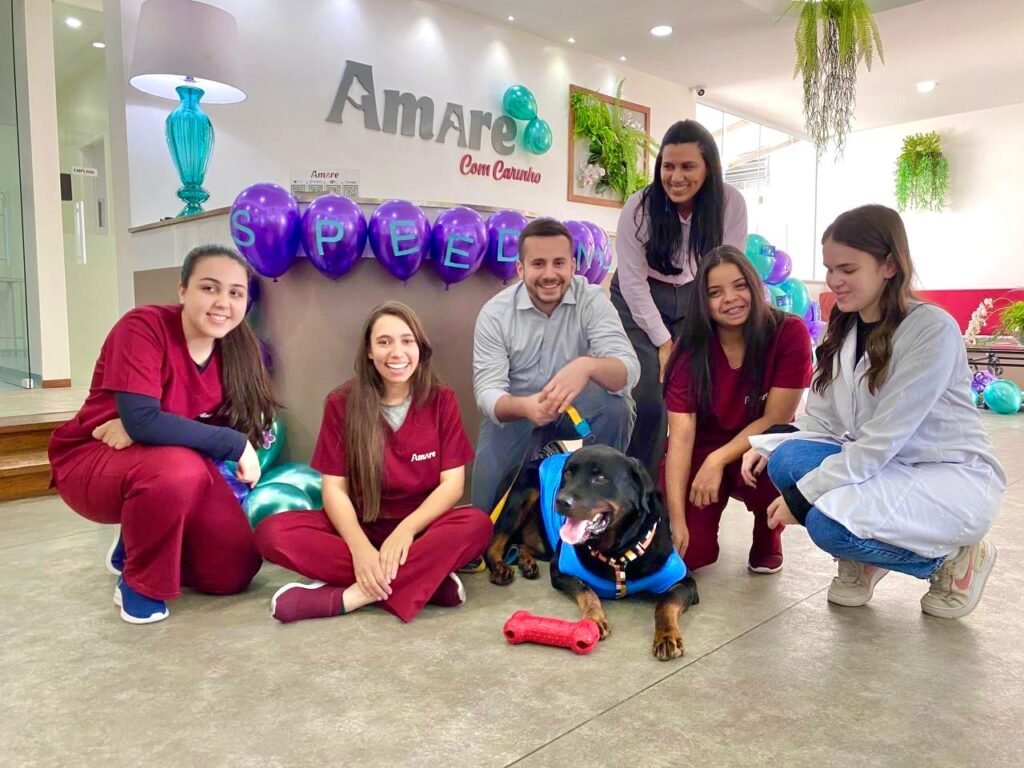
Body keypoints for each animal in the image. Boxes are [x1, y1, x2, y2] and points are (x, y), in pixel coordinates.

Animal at [484, 444, 699, 661]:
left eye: (601, 478)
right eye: (568, 473)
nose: (561, 501)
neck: (617, 553)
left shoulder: (685, 582)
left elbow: (665, 604)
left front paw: (667, 635)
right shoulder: (561, 571)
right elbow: (588, 593)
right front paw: (594, 619)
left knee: (522, 545)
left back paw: (526, 562)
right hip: (522, 495)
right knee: (495, 543)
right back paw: (500, 568)